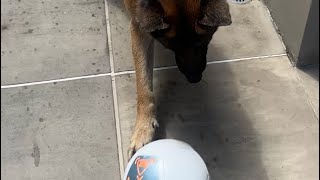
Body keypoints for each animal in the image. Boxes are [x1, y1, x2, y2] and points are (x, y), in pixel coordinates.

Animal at [124, 0, 231, 158]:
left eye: (204, 42)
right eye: (173, 48)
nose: (195, 78)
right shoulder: (139, 26)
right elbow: (143, 84)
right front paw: (143, 127)